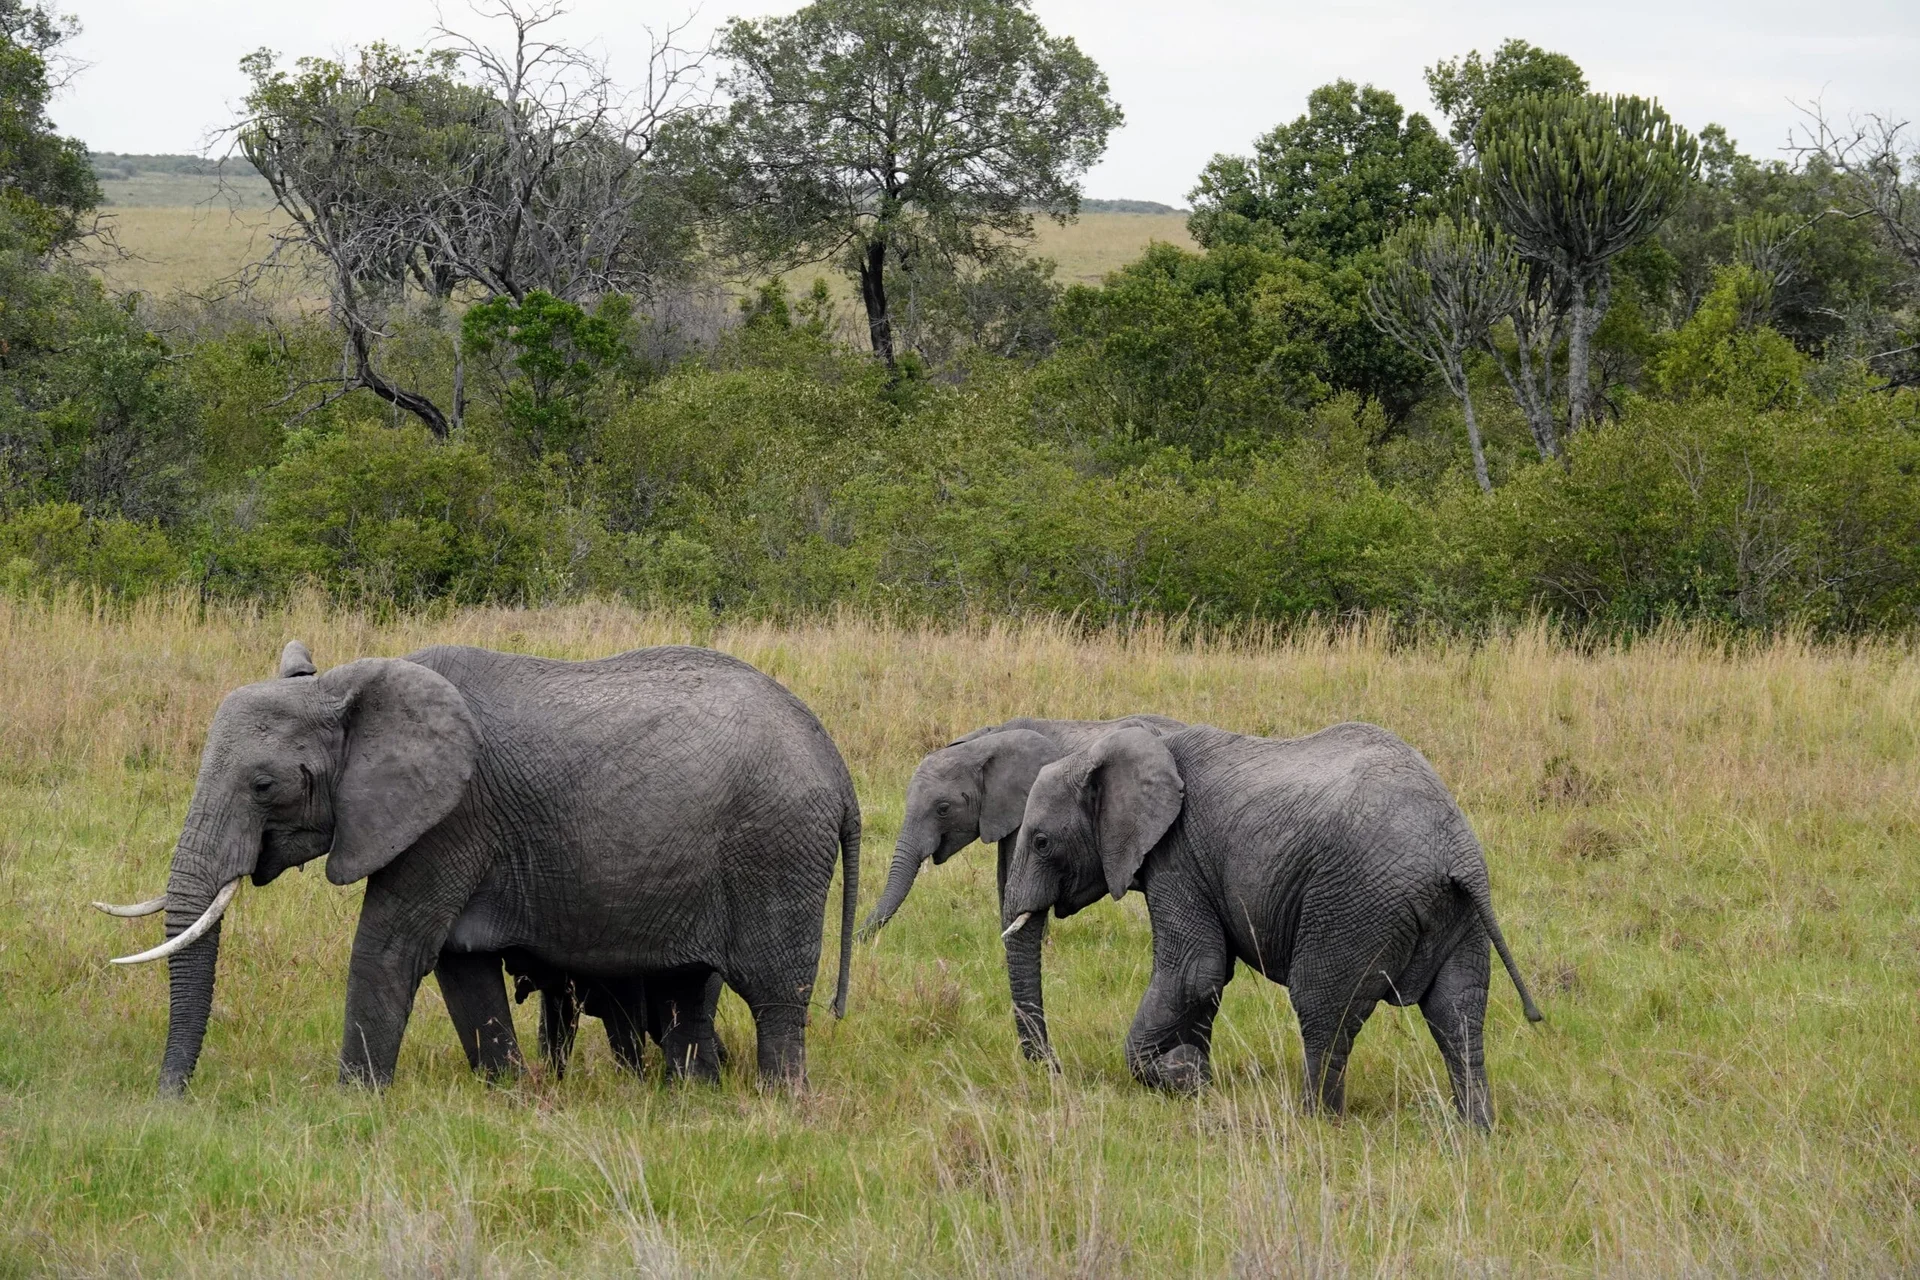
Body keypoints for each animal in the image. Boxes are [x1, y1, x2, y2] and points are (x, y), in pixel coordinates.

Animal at [97, 639, 860, 1096]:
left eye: (263, 785)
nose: (171, 1101)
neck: (349, 687)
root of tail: (838, 765)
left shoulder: (448, 819)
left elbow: (391, 949)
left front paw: (352, 1104)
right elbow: (460, 966)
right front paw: (510, 1093)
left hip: (777, 849)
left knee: (775, 994)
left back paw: (778, 1105)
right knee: (684, 994)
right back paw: (690, 1098)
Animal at [1000, 723, 1542, 1127]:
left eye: (1042, 842)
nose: (1055, 1070)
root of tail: (1456, 852)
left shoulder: (1177, 854)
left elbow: (1194, 971)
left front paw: (1181, 1075)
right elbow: (1209, 980)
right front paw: (1197, 1077)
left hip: (1354, 903)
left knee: (1322, 1006)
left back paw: (1314, 1122)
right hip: (1458, 914)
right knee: (1458, 1011)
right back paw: (1473, 1130)